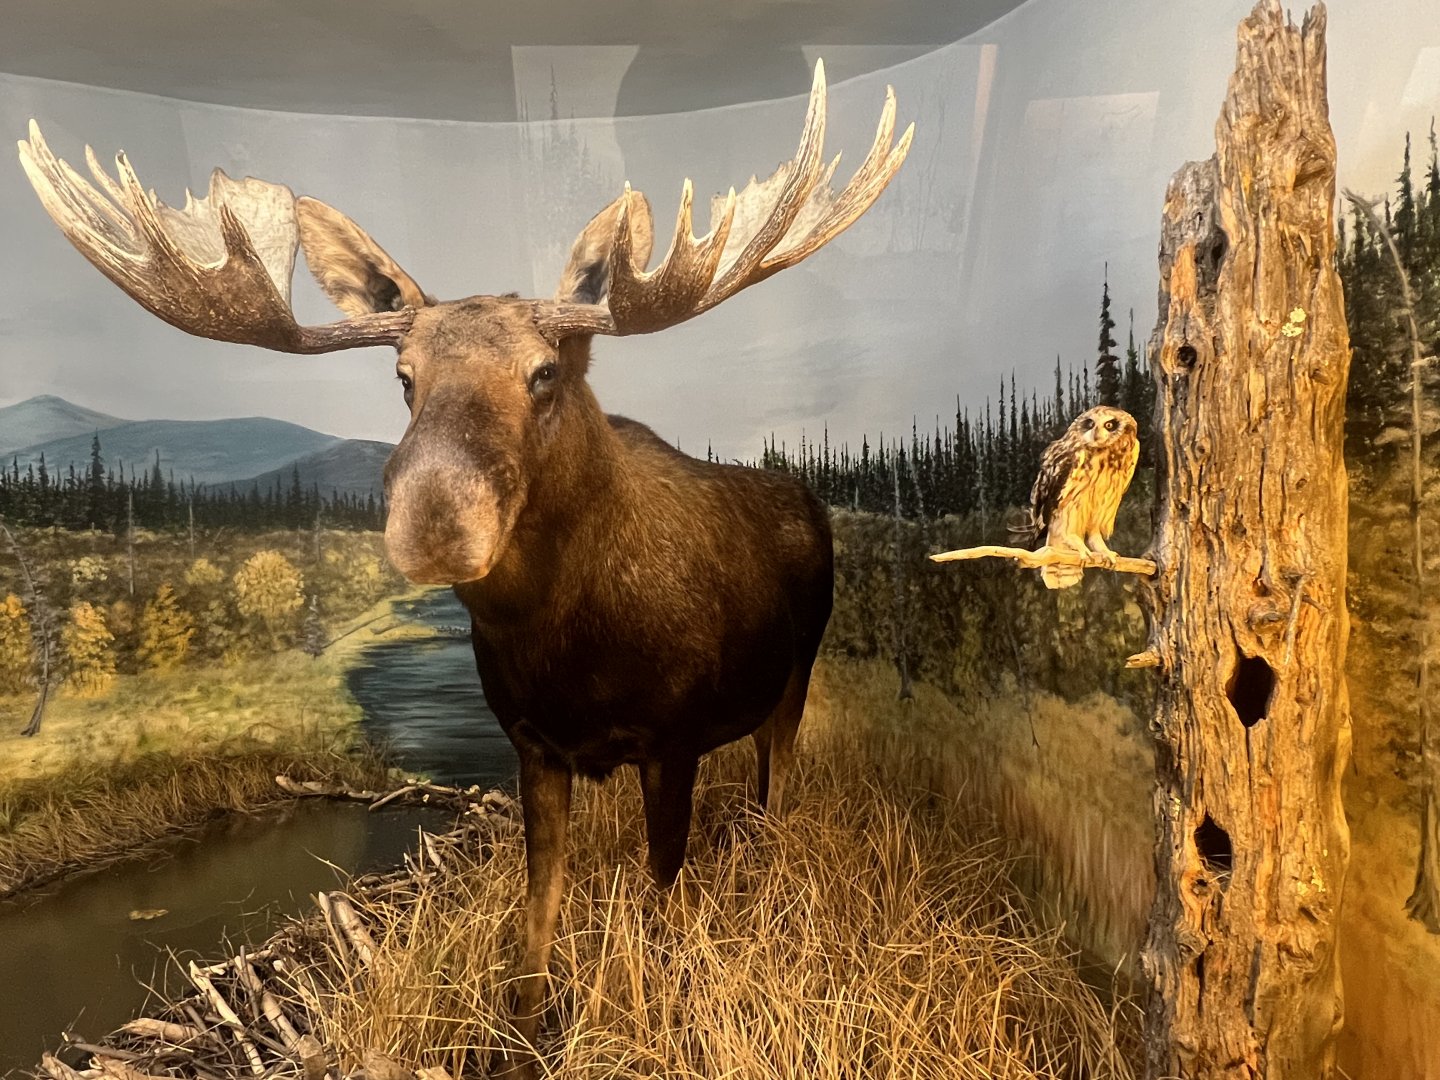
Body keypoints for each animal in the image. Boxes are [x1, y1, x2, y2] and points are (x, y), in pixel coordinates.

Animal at [18, 62, 911, 1077]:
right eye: (403, 375)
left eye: (545, 372)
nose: (436, 517)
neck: (567, 649)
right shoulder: (531, 743)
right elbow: (536, 915)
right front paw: (523, 1032)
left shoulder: (672, 739)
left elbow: (660, 906)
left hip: (793, 677)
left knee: (775, 789)